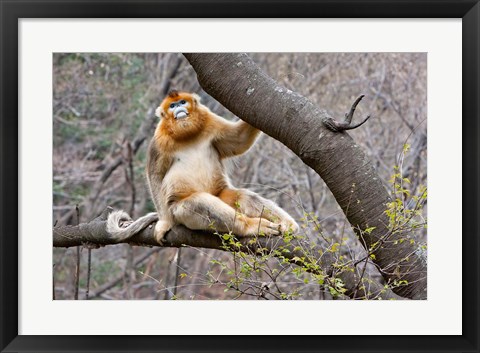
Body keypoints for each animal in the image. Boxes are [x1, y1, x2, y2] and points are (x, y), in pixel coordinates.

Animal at [107, 91, 298, 242]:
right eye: (172, 106)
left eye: (182, 102)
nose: (178, 109)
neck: (186, 133)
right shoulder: (158, 140)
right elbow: (155, 176)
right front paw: (164, 223)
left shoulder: (210, 120)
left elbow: (239, 139)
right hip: (178, 212)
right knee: (199, 203)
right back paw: (251, 226)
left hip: (220, 193)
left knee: (244, 197)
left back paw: (287, 224)